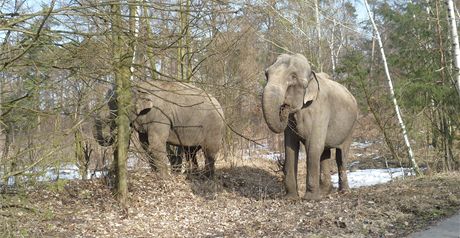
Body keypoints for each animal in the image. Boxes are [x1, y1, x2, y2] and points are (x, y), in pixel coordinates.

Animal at [260, 54, 358, 201]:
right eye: (267, 74)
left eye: (293, 77)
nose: (284, 107)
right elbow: (290, 147)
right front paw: (291, 198)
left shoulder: (320, 110)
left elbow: (313, 147)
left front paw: (310, 199)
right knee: (325, 153)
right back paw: (324, 192)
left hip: (351, 127)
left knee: (341, 156)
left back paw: (344, 192)